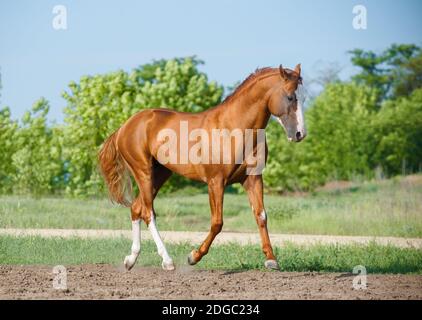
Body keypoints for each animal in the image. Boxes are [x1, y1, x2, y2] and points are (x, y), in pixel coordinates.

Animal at [99, 63, 306, 272]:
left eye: (304, 97)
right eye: (290, 96)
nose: (300, 134)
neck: (234, 129)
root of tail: (124, 127)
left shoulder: (253, 179)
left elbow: (261, 216)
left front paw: (271, 259)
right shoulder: (216, 182)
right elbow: (217, 223)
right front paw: (193, 257)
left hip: (160, 174)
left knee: (136, 208)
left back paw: (131, 260)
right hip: (143, 172)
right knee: (148, 212)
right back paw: (167, 261)